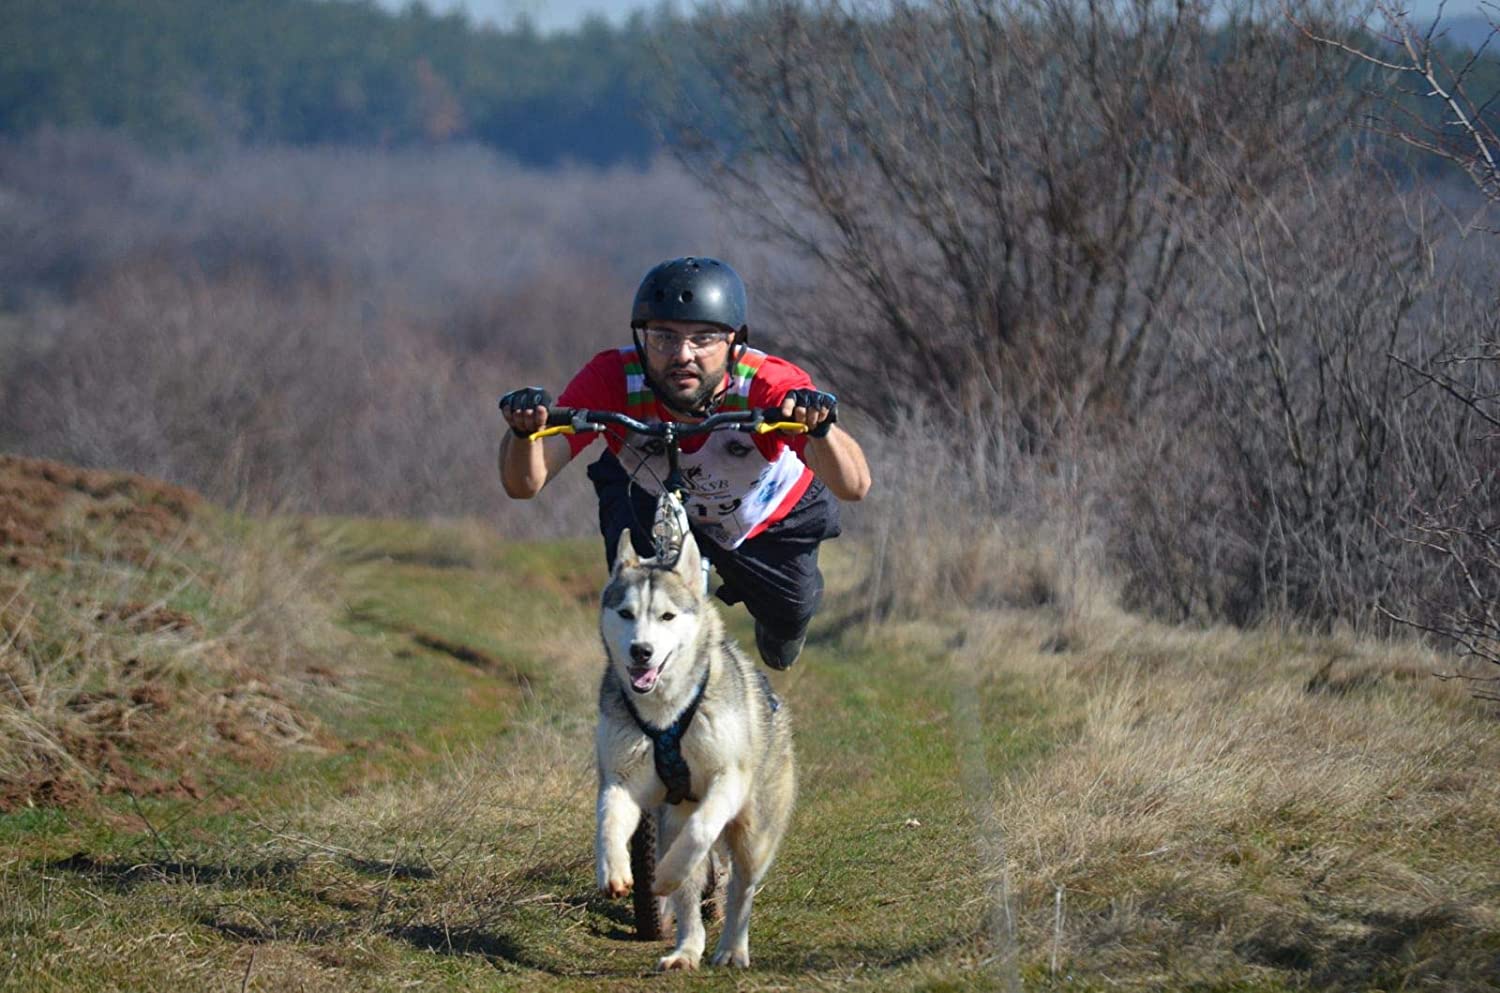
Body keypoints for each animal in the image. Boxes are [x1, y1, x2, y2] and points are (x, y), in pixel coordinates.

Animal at [594, 528, 798, 972]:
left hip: (754, 835)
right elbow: (608, 820)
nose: (641, 651)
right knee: (689, 898)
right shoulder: (621, 777)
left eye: (667, 616)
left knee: (740, 888)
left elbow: (703, 829)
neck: (665, 715)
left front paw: (666, 874)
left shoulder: (729, 779)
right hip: (671, 820)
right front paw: (613, 870)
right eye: (626, 614)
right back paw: (686, 950)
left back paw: (732, 948)